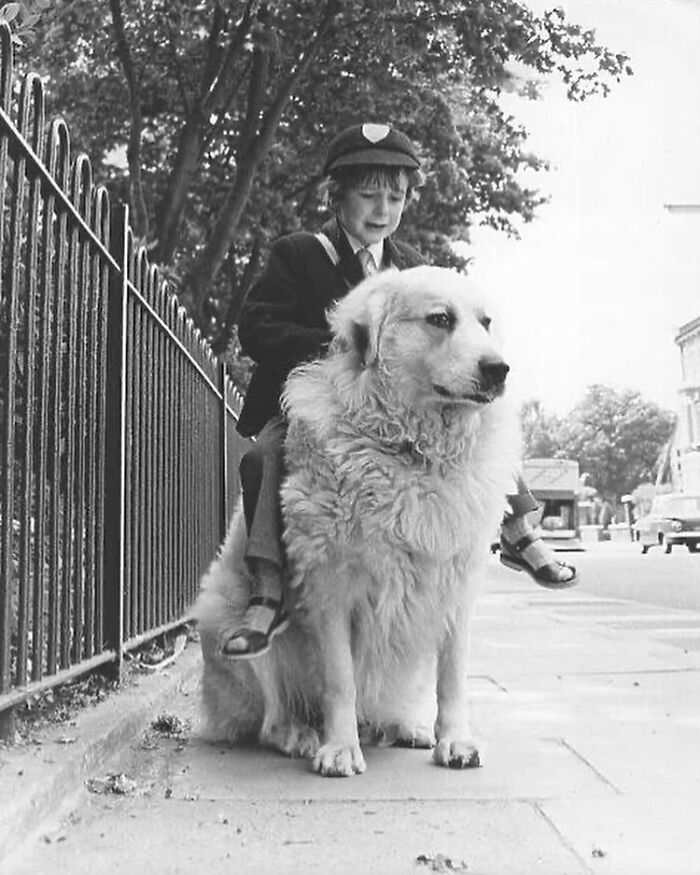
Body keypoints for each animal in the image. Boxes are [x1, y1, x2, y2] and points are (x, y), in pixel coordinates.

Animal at [194, 266, 524, 780]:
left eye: (486, 322)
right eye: (440, 319)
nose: (499, 368)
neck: (412, 449)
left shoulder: (456, 584)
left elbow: (452, 676)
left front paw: (455, 740)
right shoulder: (331, 585)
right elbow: (341, 680)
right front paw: (340, 749)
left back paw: (406, 727)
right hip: (227, 622)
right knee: (270, 719)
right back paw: (301, 736)